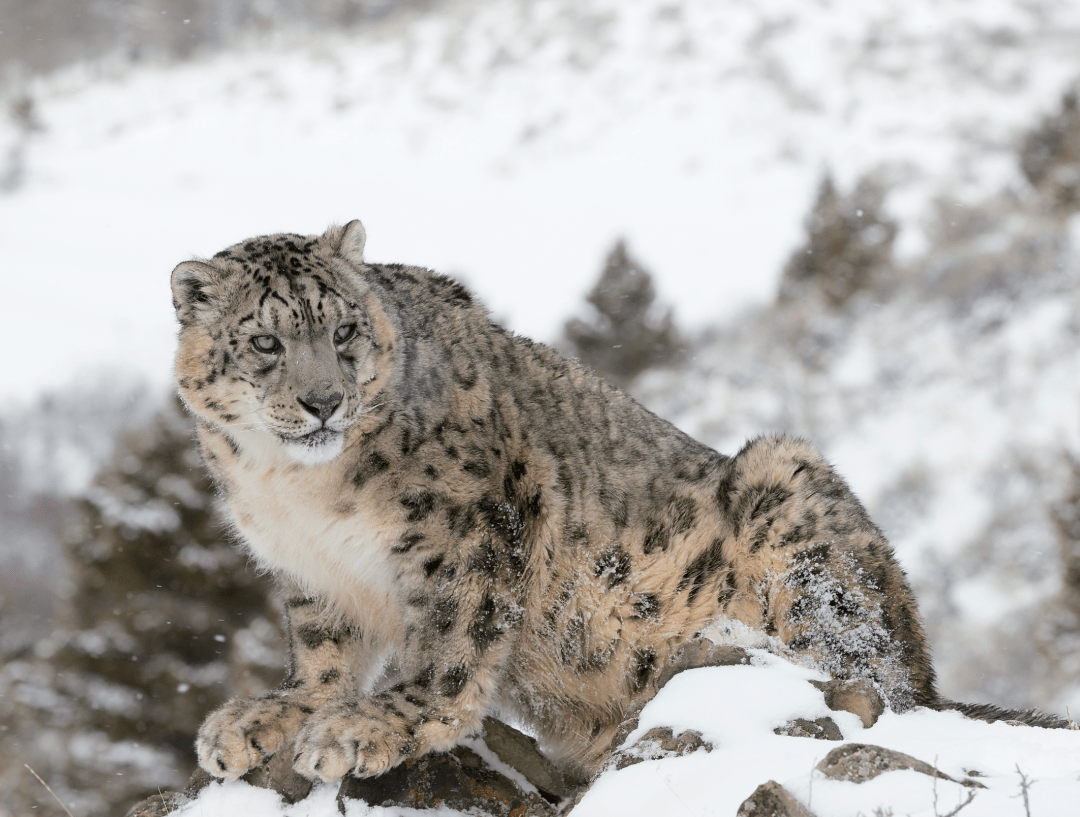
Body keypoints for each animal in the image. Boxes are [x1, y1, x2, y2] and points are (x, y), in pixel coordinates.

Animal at [172, 220, 1058, 786]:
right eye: (265, 341)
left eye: (346, 329)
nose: (323, 401)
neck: (298, 491)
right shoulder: (311, 573)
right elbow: (322, 655)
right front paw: (269, 717)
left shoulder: (468, 529)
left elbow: (452, 643)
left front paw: (371, 725)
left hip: (796, 497)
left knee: (867, 676)